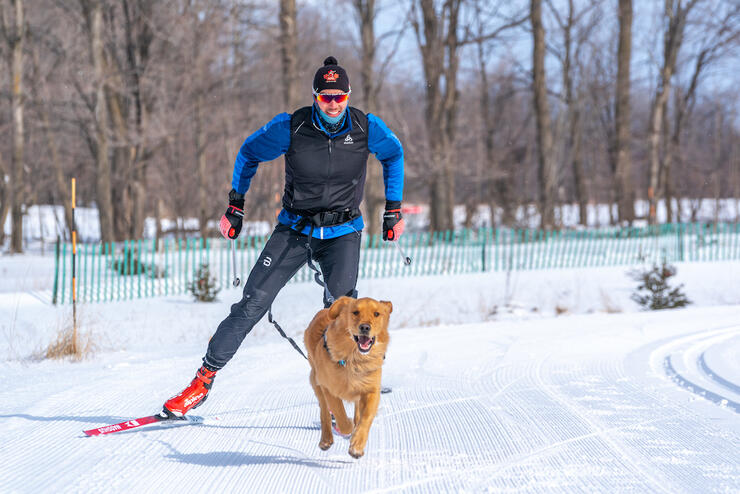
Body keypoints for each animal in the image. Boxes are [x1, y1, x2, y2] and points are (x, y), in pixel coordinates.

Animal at [304, 296, 394, 458]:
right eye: (355, 312)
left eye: (376, 314)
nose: (365, 327)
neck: (354, 360)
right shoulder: (329, 388)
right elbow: (339, 413)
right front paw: (349, 428)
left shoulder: (371, 390)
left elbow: (366, 417)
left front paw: (357, 445)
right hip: (316, 381)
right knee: (324, 412)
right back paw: (326, 440)